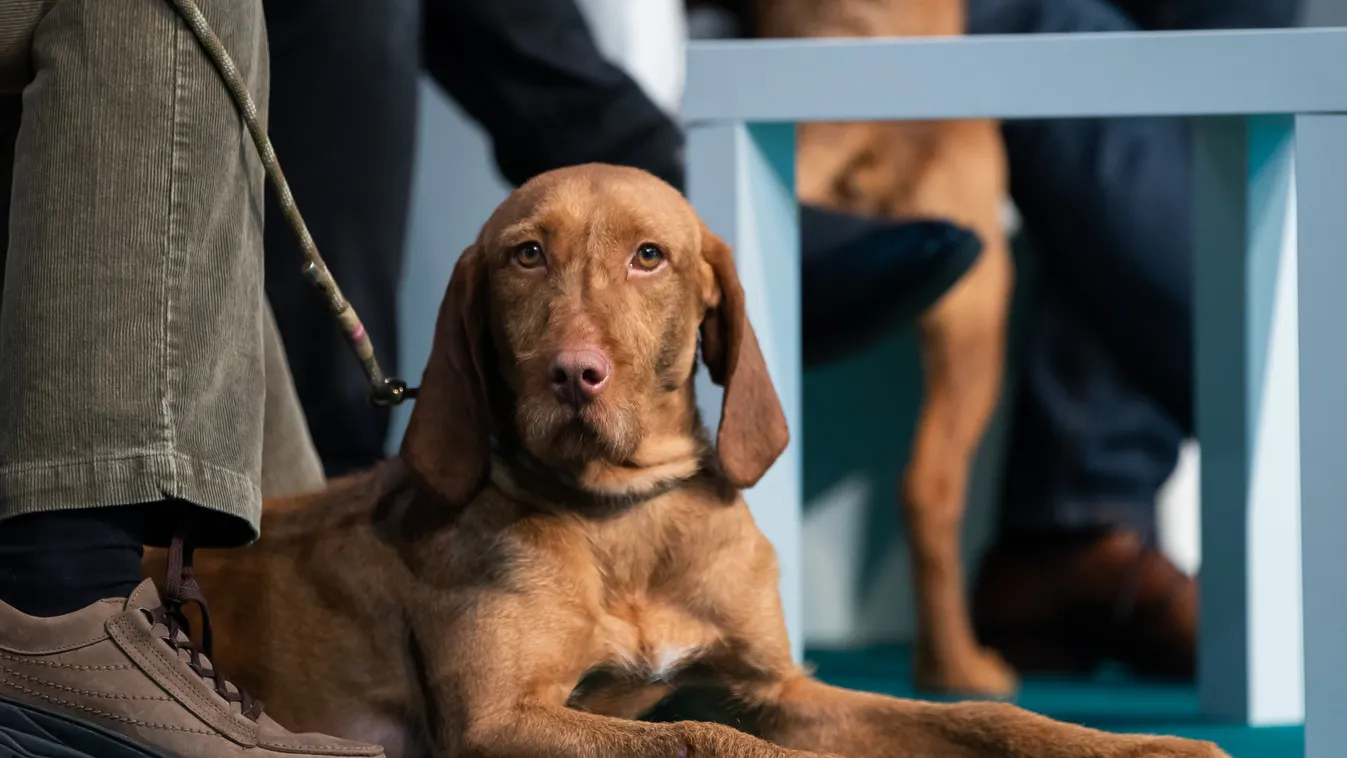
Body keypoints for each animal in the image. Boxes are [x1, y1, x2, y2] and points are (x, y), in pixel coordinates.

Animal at [152, 167, 1228, 758]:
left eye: (649, 256)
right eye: (526, 255)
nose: (573, 373)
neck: (626, 518)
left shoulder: (777, 690)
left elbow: (985, 720)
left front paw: (1150, 742)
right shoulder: (504, 717)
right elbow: (701, 736)